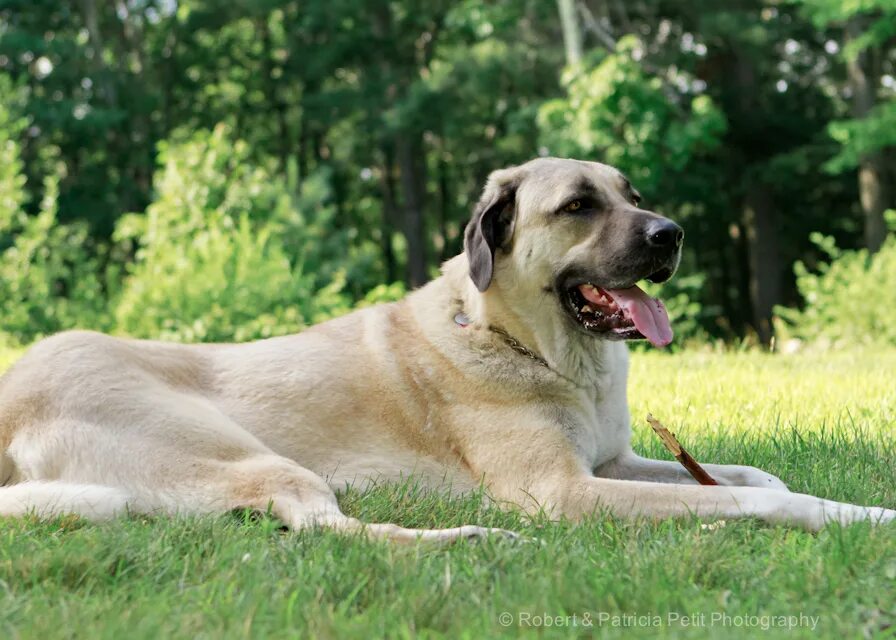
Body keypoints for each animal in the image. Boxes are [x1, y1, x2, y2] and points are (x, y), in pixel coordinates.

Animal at [1, 156, 896, 540]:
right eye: (579, 205)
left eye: (632, 195)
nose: (671, 234)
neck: (528, 344)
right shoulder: (568, 490)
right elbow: (762, 498)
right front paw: (850, 516)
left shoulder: (610, 462)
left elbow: (750, 474)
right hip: (240, 453)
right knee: (324, 528)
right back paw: (476, 537)